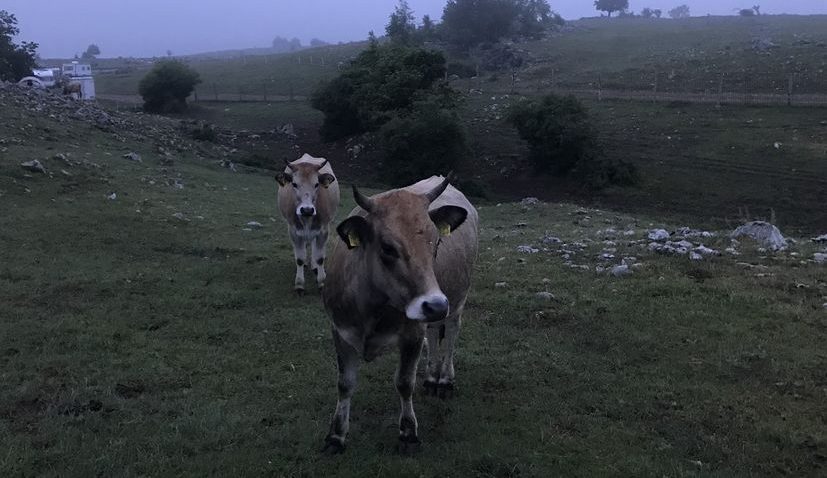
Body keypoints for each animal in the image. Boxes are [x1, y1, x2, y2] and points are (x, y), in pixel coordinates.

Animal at [275, 154, 339, 293]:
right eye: (294, 184)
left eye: (316, 184)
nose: (307, 209)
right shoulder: (293, 230)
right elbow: (299, 258)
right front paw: (299, 284)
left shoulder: (323, 229)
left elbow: (320, 257)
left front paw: (321, 282)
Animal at [321, 175, 479, 453]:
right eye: (387, 247)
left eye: (437, 242)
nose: (436, 304)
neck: (371, 309)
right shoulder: (339, 330)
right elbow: (345, 383)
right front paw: (336, 436)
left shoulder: (412, 334)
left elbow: (404, 383)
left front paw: (408, 432)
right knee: (434, 334)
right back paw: (431, 378)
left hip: (458, 300)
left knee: (450, 335)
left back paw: (444, 380)